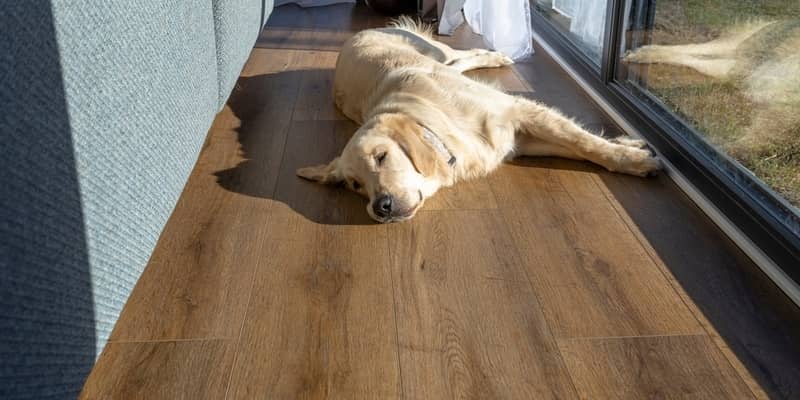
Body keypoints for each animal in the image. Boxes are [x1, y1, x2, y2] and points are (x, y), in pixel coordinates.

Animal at [296, 18, 660, 222]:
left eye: (381, 157)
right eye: (354, 185)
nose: (380, 207)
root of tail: (359, 33)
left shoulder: (518, 111)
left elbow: (583, 142)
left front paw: (632, 158)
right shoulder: (518, 141)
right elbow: (579, 145)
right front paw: (630, 146)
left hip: (435, 52)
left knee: (461, 54)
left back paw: (496, 54)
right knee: (459, 63)